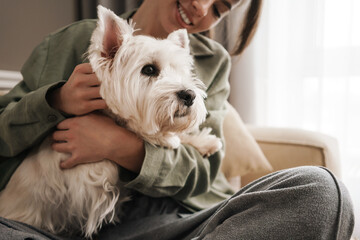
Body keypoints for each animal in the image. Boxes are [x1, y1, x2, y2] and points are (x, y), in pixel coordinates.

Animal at [0, 5, 222, 238]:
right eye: (149, 69)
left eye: (180, 71)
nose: (189, 95)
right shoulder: (94, 181)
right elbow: (139, 128)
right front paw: (167, 138)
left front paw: (203, 142)